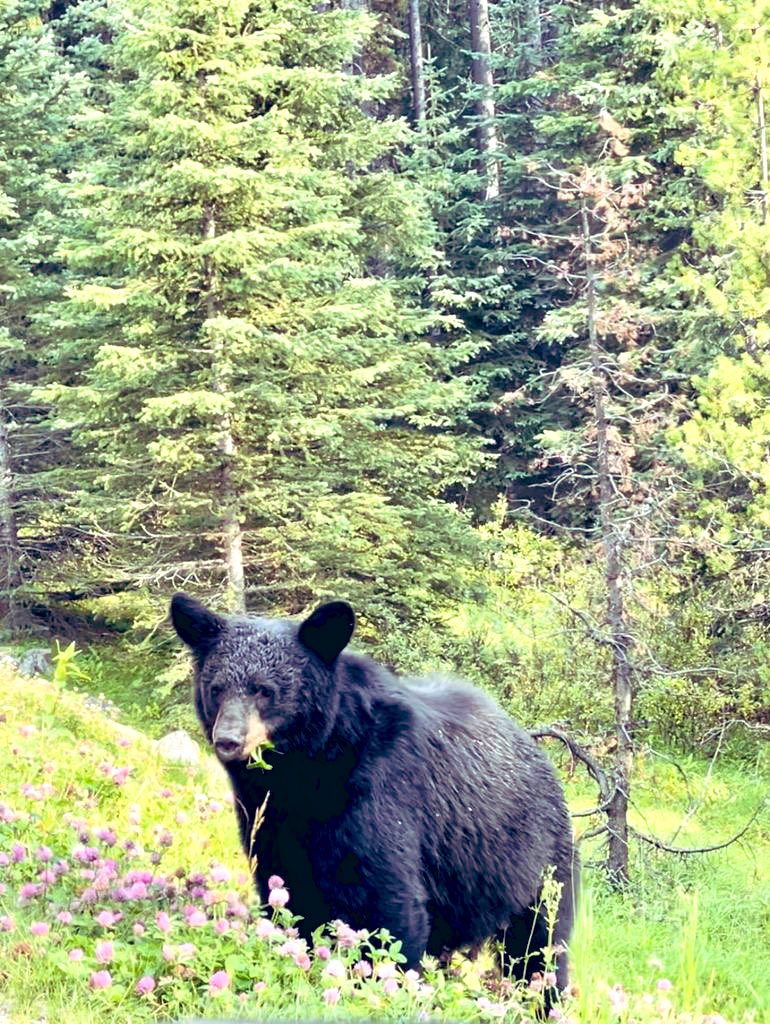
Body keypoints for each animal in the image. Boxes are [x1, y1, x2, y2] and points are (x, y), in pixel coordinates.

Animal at [169, 598, 577, 987]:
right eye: (216, 688)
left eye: (265, 691)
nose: (228, 740)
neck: (306, 770)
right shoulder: (269, 816)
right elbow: (286, 889)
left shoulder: (382, 791)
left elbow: (387, 903)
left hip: (532, 861)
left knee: (540, 944)